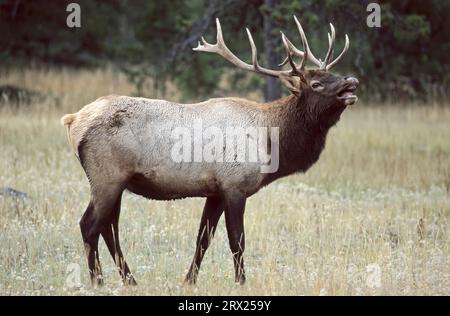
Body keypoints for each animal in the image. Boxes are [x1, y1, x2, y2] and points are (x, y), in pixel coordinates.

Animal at [61, 16, 358, 286]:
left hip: (118, 181)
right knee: (89, 225)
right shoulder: (234, 185)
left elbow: (203, 238)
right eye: (316, 84)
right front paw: (241, 282)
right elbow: (237, 240)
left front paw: (189, 281)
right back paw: (98, 281)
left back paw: (130, 281)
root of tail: (73, 120)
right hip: (106, 176)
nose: (351, 81)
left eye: (333, 74)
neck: (271, 142)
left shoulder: (215, 191)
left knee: (109, 228)